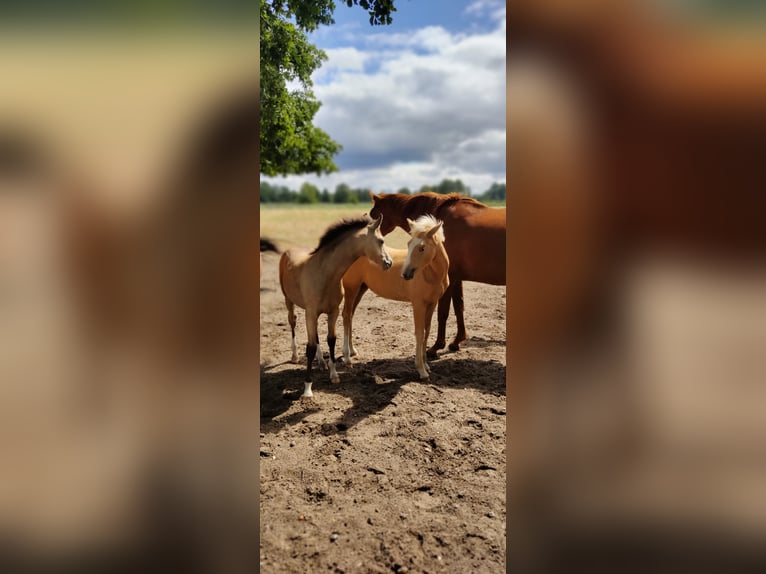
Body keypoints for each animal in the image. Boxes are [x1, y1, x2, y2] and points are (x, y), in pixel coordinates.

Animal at [280, 216, 392, 400]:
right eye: (381, 241)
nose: (389, 263)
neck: (325, 274)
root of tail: (289, 250)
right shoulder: (312, 312)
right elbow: (310, 347)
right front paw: (307, 389)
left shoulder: (333, 312)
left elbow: (330, 340)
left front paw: (333, 374)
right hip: (289, 301)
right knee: (292, 322)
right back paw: (295, 355)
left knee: (316, 335)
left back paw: (321, 362)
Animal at [342, 214, 450, 380]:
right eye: (409, 243)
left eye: (422, 247)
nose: (405, 274)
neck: (431, 275)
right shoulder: (418, 304)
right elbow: (419, 333)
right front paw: (421, 370)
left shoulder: (432, 303)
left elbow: (427, 331)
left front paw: (426, 365)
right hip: (350, 288)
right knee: (346, 316)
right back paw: (347, 358)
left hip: (360, 289)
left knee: (350, 315)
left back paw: (353, 351)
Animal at [368, 191, 508, 358]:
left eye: (373, 215)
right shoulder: (456, 278)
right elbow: (459, 307)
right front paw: (456, 342)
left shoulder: (449, 279)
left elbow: (443, 312)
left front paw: (436, 347)